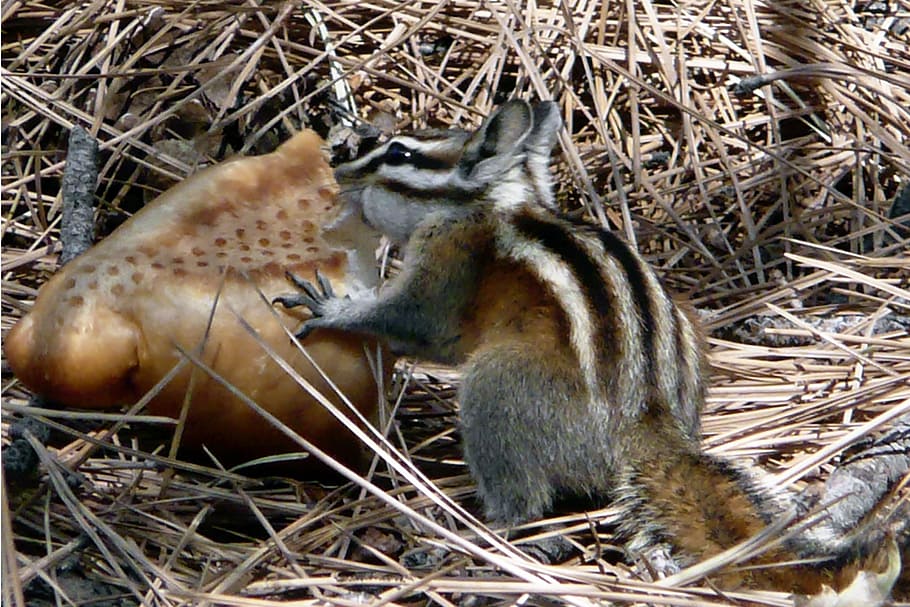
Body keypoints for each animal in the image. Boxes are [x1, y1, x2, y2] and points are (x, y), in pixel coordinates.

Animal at [276, 100, 906, 596]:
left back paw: (473, 528)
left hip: (498, 386)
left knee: (520, 500)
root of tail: (646, 426)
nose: (337, 170)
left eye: (400, 155)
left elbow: (414, 322)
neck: (490, 204)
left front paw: (331, 308)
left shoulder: (449, 266)